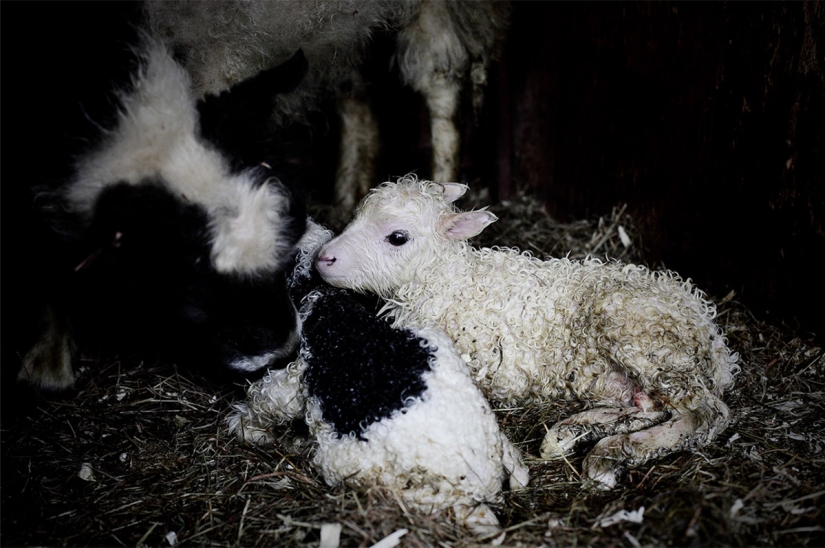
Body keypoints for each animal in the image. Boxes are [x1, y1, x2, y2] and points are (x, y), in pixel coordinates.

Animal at [228, 220, 528, 535]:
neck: (335, 311)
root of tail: (483, 478)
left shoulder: (292, 381)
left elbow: (261, 402)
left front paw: (248, 429)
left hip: (352, 465)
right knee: (518, 470)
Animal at [315, 176, 741, 489]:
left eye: (397, 237)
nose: (324, 258)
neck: (447, 284)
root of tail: (716, 342)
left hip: (644, 337)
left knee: (706, 414)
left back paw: (611, 453)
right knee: (651, 405)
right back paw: (571, 434)